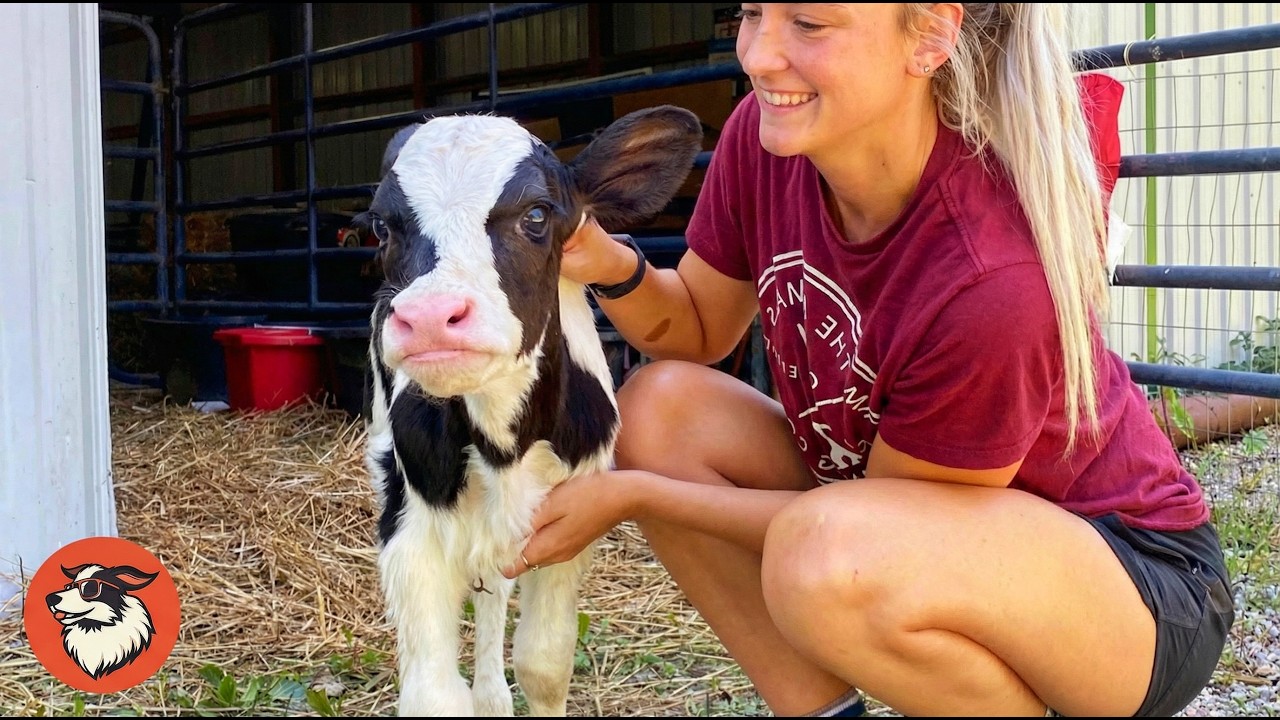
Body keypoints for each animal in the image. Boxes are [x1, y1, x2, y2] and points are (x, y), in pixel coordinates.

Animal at [361, 105, 703, 716]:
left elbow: (543, 665)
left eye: (537, 214)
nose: (429, 316)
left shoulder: (569, 527)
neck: (504, 443)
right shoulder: (410, 531)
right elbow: (433, 693)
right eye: (381, 226)